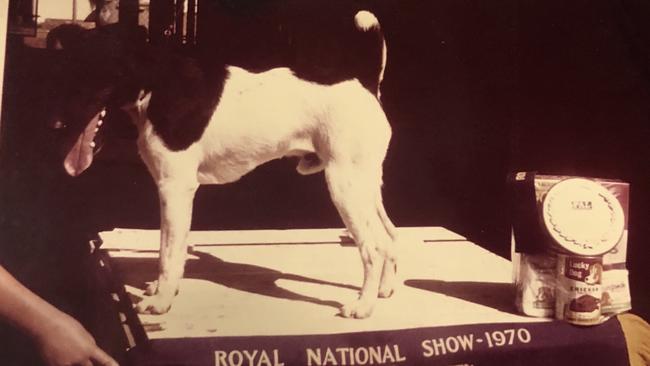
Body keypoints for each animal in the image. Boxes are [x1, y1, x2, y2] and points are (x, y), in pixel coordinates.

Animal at [55, 8, 398, 318]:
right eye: (67, 70)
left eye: (96, 72)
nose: (55, 123)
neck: (156, 85)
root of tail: (365, 84)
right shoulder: (176, 194)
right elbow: (174, 249)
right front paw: (164, 290)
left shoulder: (174, 189)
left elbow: (168, 252)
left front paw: (161, 301)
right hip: (365, 187)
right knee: (390, 238)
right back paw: (384, 291)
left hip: (344, 188)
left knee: (372, 248)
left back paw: (363, 306)